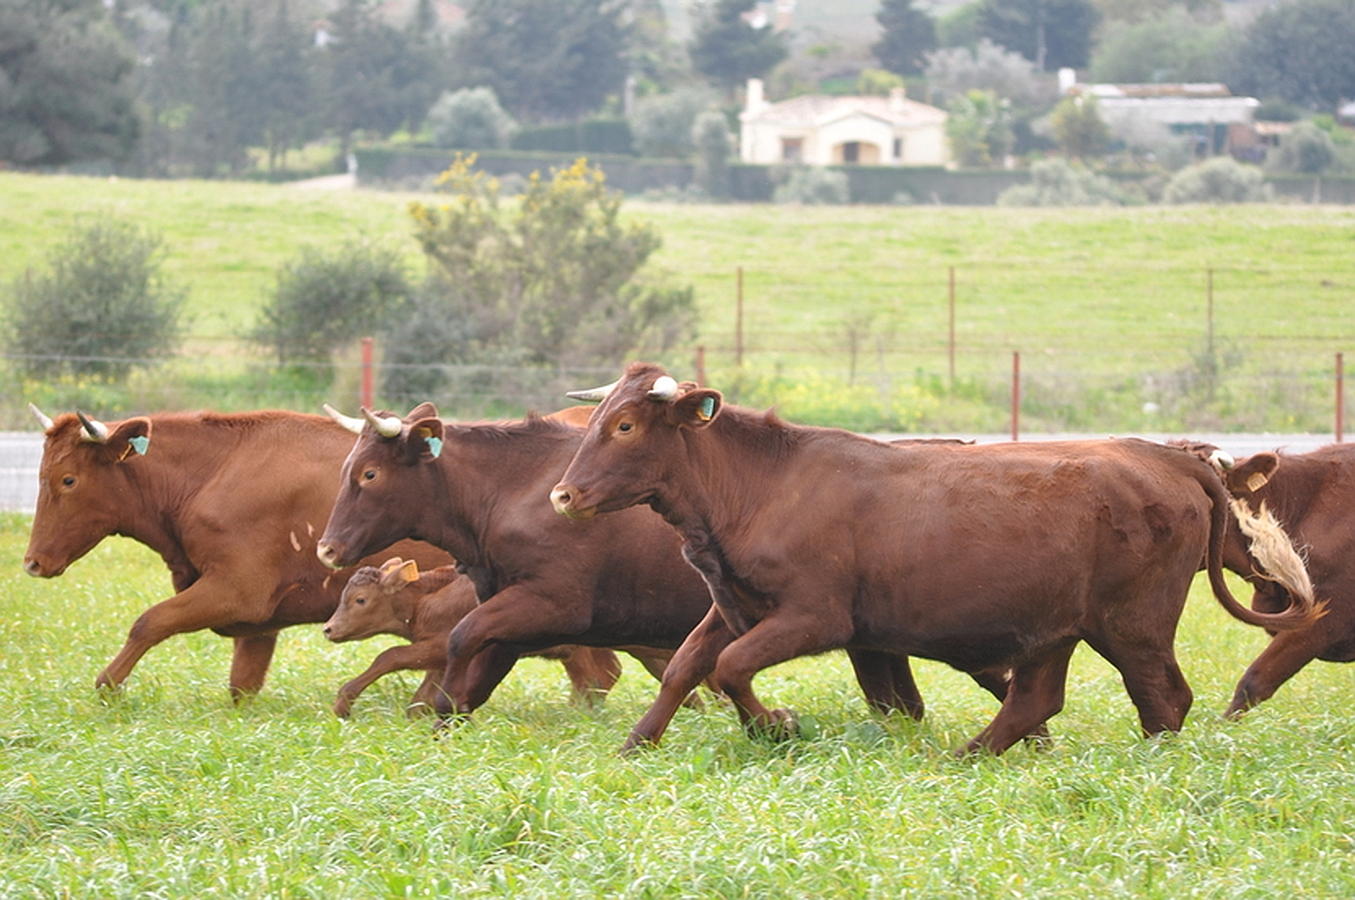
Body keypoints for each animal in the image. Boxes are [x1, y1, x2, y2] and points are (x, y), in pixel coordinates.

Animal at [22, 406, 455, 693]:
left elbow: (150, 621)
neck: (211, 474)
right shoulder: (258, 627)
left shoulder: (235, 592)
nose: (32, 562)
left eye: (68, 480)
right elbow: (241, 685)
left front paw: (108, 684)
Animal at [323, 555, 682, 715]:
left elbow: (390, 656)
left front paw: (344, 700)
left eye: (360, 600)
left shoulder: (439, 645)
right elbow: (424, 695)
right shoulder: (442, 659)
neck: (430, 598)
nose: (328, 629)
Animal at [550, 363, 1322, 753]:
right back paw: (968, 757)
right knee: (1036, 698)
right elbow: (687, 666)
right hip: (1056, 629)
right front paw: (637, 743)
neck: (763, 483)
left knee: (1164, 697)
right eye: (596, 420)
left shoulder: (814, 618)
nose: (563, 495)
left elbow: (732, 668)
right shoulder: (733, 605)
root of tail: (1165, 457)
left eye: (625, 426)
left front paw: (776, 725)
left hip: (1132, 624)